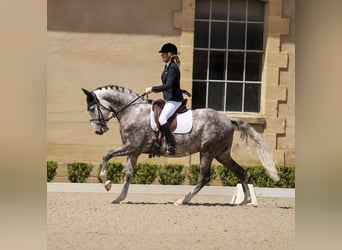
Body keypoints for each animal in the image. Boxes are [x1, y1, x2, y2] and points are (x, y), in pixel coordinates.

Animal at [81, 84, 280, 205]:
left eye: (91, 108)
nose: (98, 130)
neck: (132, 111)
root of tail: (227, 119)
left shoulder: (131, 146)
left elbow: (107, 154)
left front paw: (106, 182)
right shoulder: (134, 151)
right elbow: (128, 174)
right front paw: (119, 197)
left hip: (207, 152)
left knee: (204, 178)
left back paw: (183, 200)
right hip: (221, 154)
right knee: (240, 171)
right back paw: (245, 200)